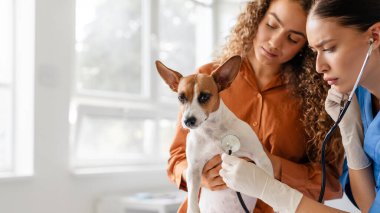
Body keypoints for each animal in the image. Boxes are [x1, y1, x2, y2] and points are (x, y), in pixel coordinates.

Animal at [154, 55, 274, 212]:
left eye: (204, 97)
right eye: (181, 97)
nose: (188, 120)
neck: (212, 131)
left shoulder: (261, 158)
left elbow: (269, 186)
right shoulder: (194, 169)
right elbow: (193, 199)